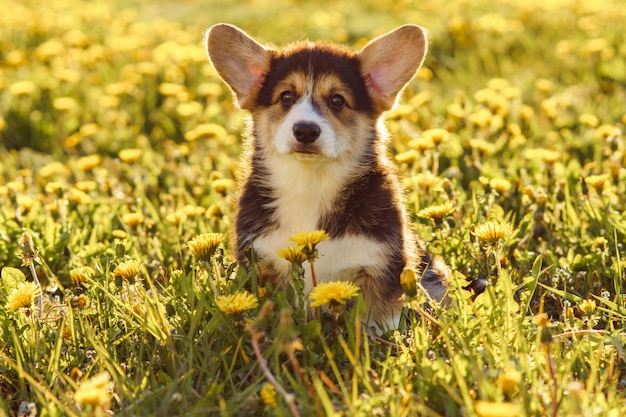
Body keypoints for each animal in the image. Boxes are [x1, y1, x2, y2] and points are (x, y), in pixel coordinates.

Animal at [206, 23, 448, 328]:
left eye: (337, 100)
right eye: (286, 97)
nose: (306, 131)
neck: (309, 184)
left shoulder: (382, 267)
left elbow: (380, 323)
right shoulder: (259, 263)